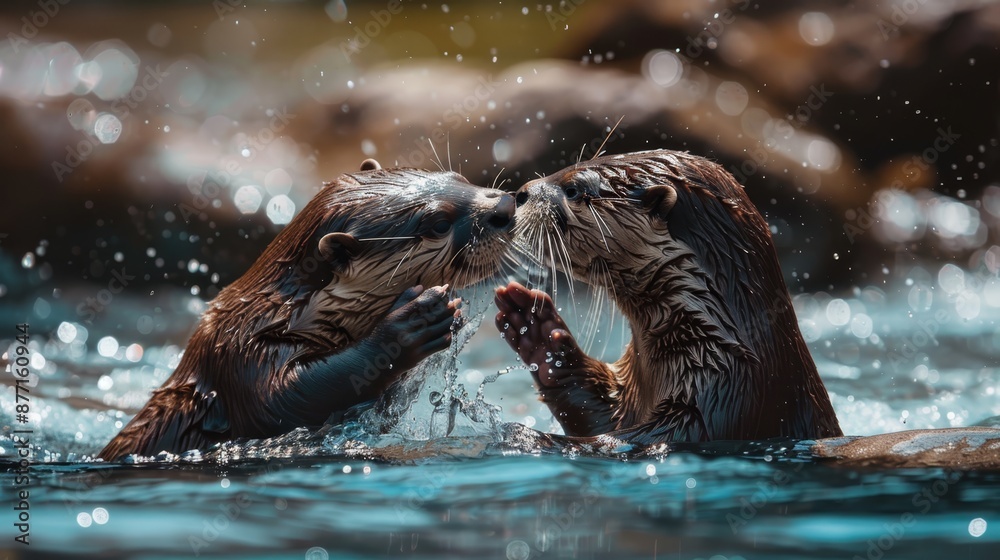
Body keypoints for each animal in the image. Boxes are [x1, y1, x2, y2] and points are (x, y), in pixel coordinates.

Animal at [99, 160, 515, 461]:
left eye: (460, 178)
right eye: (438, 223)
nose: (505, 205)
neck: (284, 312)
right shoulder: (240, 355)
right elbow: (287, 401)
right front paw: (412, 322)